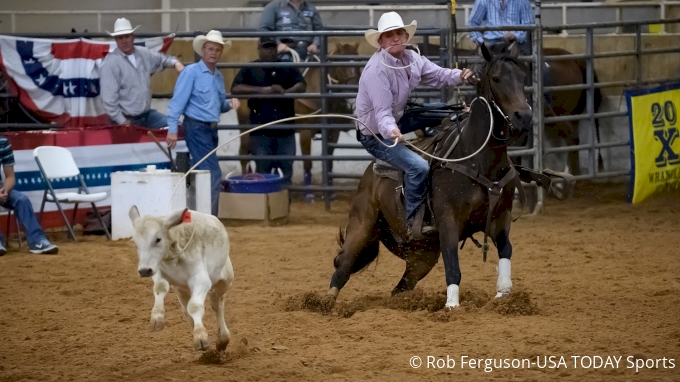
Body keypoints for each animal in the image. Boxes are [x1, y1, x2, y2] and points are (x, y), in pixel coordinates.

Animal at [129, 206, 235, 352]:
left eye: (158, 239)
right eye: (135, 241)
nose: (144, 270)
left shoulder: (201, 280)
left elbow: (195, 306)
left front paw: (201, 337)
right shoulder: (159, 272)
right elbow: (160, 288)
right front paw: (157, 318)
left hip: (224, 282)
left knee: (217, 305)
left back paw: (222, 339)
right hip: (181, 290)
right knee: (186, 310)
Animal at [326, 43, 532, 308]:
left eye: (523, 77)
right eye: (496, 78)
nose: (524, 116)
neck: (477, 159)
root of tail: (368, 175)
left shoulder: (500, 218)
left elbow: (506, 251)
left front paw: (505, 297)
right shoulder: (448, 222)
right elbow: (453, 267)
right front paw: (452, 307)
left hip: (422, 255)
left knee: (400, 288)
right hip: (362, 224)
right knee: (343, 266)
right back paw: (322, 303)